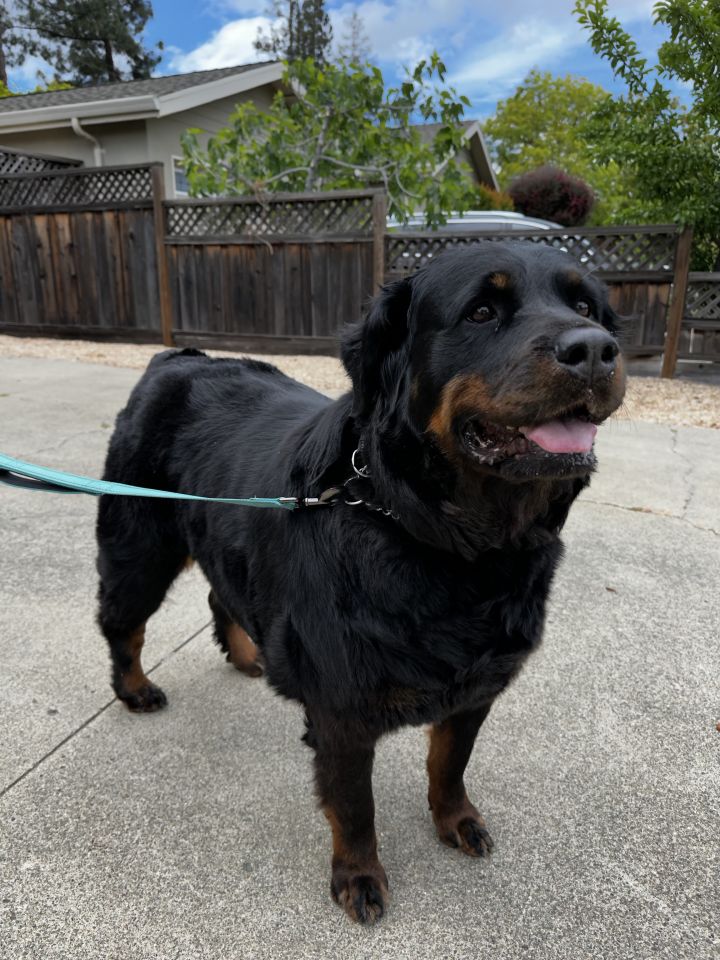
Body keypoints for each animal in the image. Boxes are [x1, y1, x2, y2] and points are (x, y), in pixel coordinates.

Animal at [95, 242, 624, 924]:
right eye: (481, 311)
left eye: (586, 307)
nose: (594, 349)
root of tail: (175, 357)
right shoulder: (344, 707)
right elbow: (353, 806)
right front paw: (359, 876)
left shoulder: (478, 686)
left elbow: (450, 762)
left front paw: (456, 818)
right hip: (140, 544)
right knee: (123, 624)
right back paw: (135, 689)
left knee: (220, 591)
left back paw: (249, 656)